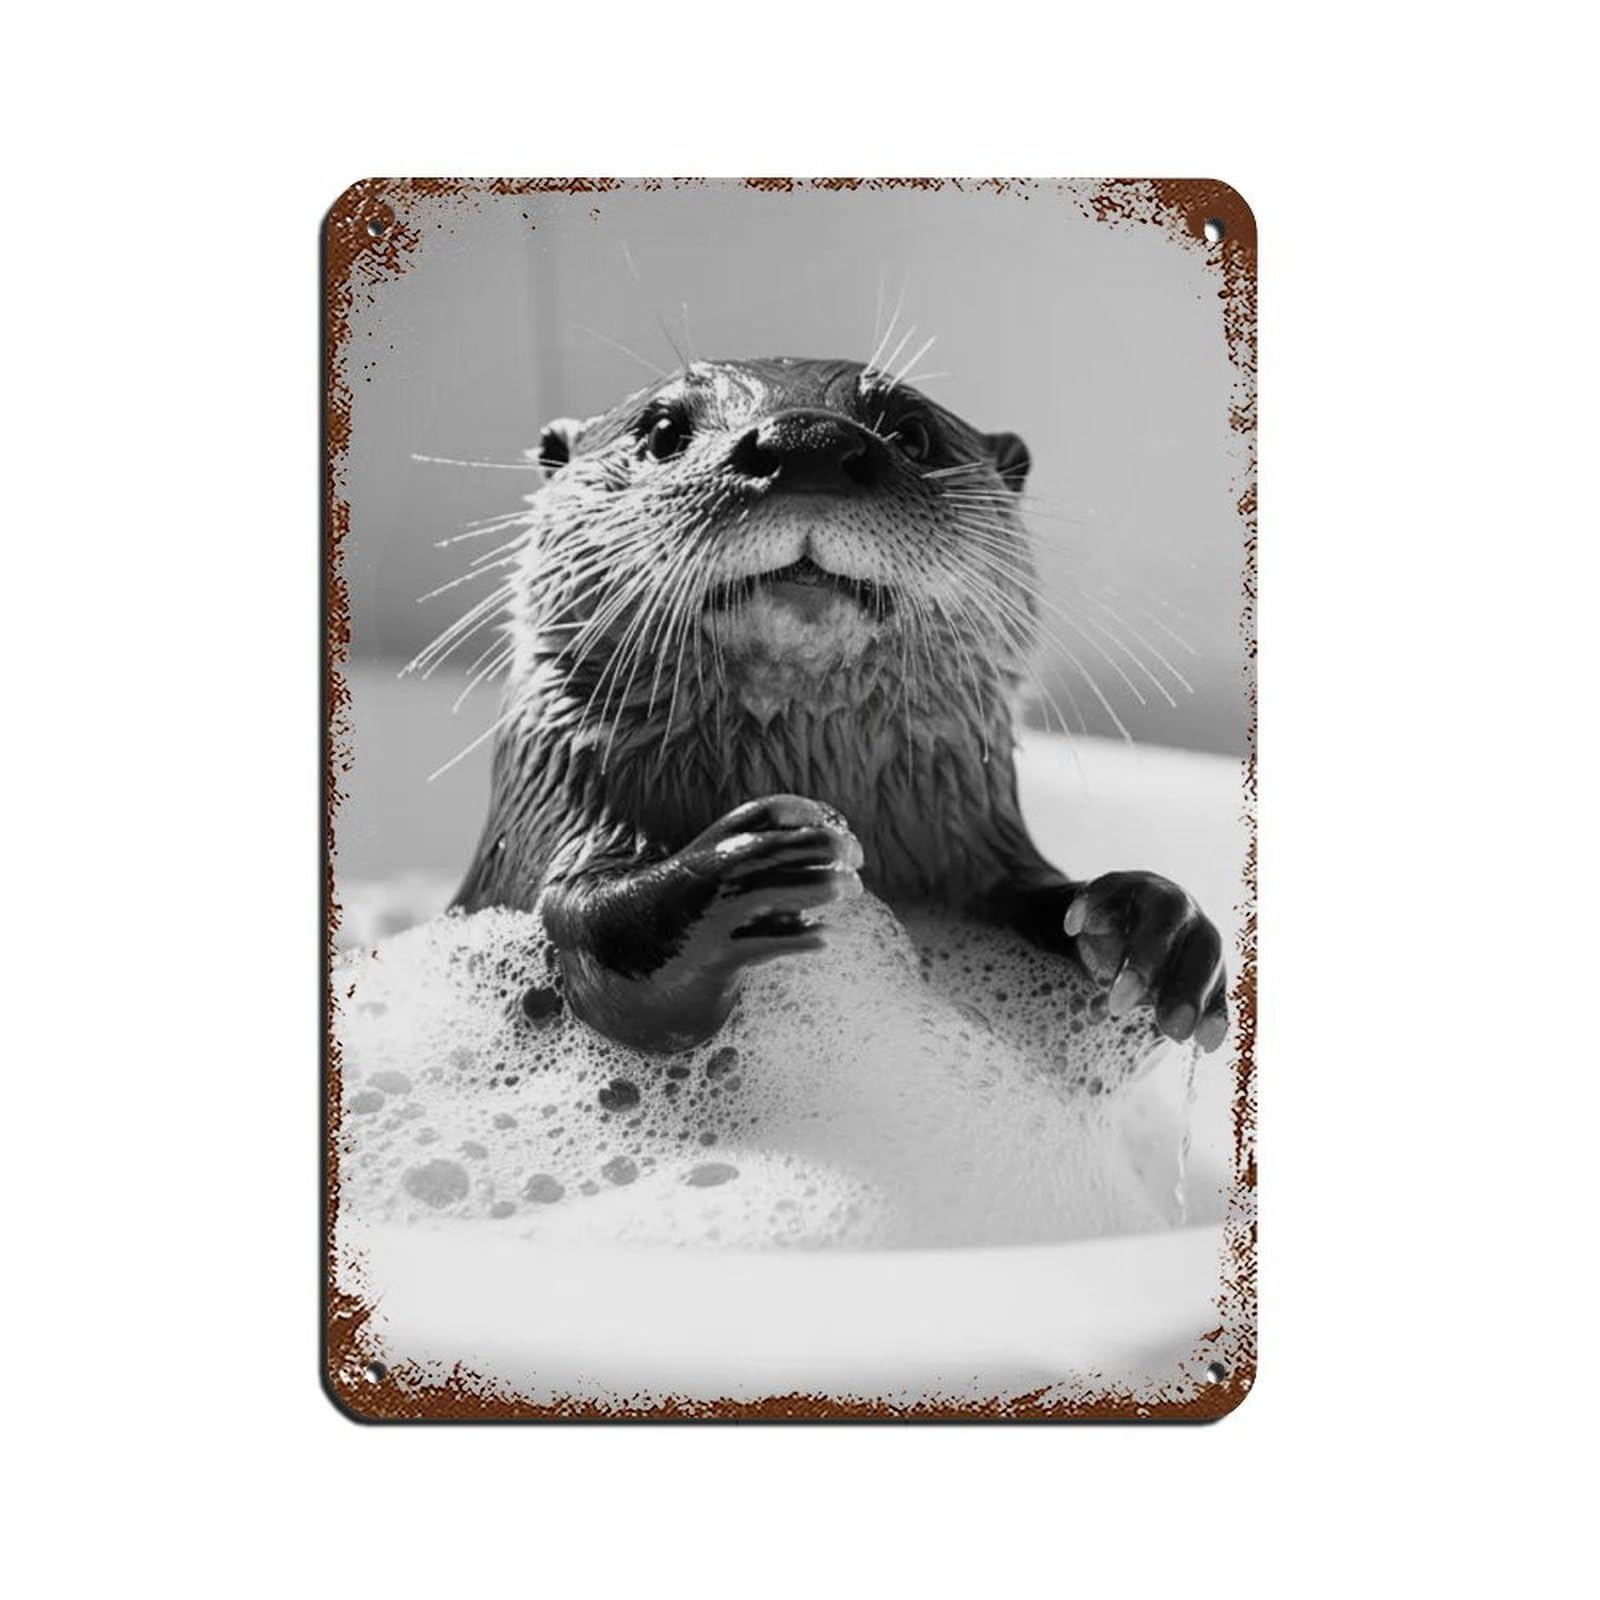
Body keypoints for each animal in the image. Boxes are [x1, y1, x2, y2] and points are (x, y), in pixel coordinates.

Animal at [453, 357, 1228, 1059]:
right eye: (665, 431)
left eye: (913, 434)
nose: (806, 439)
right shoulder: (555, 795)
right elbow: (590, 929)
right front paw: (752, 863)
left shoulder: (977, 846)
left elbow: (1031, 892)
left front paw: (1152, 922)